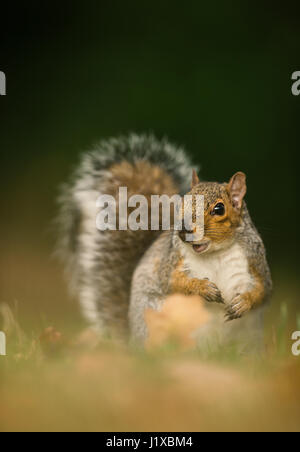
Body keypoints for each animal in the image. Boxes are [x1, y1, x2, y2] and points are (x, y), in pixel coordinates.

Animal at [58, 134, 272, 346]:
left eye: (219, 209)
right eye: (182, 202)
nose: (184, 230)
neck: (216, 252)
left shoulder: (256, 260)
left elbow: (263, 291)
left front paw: (243, 303)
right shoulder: (171, 260)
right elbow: (171, 282)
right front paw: (203, 288)